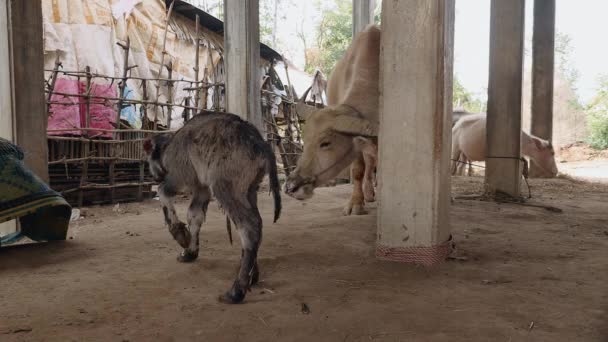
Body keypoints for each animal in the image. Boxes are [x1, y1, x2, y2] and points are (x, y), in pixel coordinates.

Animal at [144, 113, 282, 304]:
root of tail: (260, 144)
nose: (154, 176)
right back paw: (251, 275)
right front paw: (190, 252)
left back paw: (237, 290)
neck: (169, 145)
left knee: (249, 227)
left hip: (224, 187)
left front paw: (180, 234)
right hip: (248, 190)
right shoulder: (201, 188)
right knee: (256, 224)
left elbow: (163, 191)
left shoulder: (180, 177)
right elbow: (194, 216)